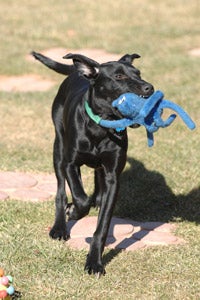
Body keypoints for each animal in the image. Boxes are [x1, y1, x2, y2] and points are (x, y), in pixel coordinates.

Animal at [31, 50, 153, 276]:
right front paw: (74, 211)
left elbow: (102, 225)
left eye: (139, 73)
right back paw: (60, 227)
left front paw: (95, 262)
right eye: (119, 77)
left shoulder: (113, 177)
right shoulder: (70, 163)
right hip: (58, 149)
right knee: (61, 192)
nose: (149, 87)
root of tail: (79, 72)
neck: (101, 127)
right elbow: (80, 198)